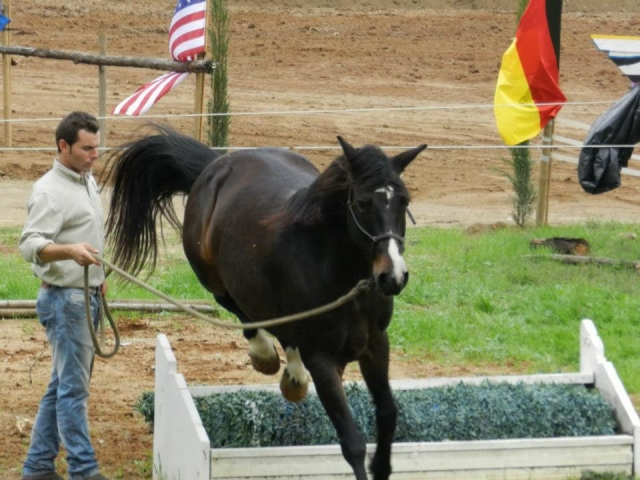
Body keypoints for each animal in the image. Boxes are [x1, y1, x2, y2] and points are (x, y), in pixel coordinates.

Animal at [103, 126, 426, 480]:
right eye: (363, 204)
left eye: (404, 201)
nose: (393, 276)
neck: (336, 273)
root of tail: (216, 164)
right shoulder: (322, 360)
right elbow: (352, 442)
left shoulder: (376, 346)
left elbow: (388, 414)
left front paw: (381, 465)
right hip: (213, 278)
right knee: (242, 311)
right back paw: (266, 357)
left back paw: (292, 377)